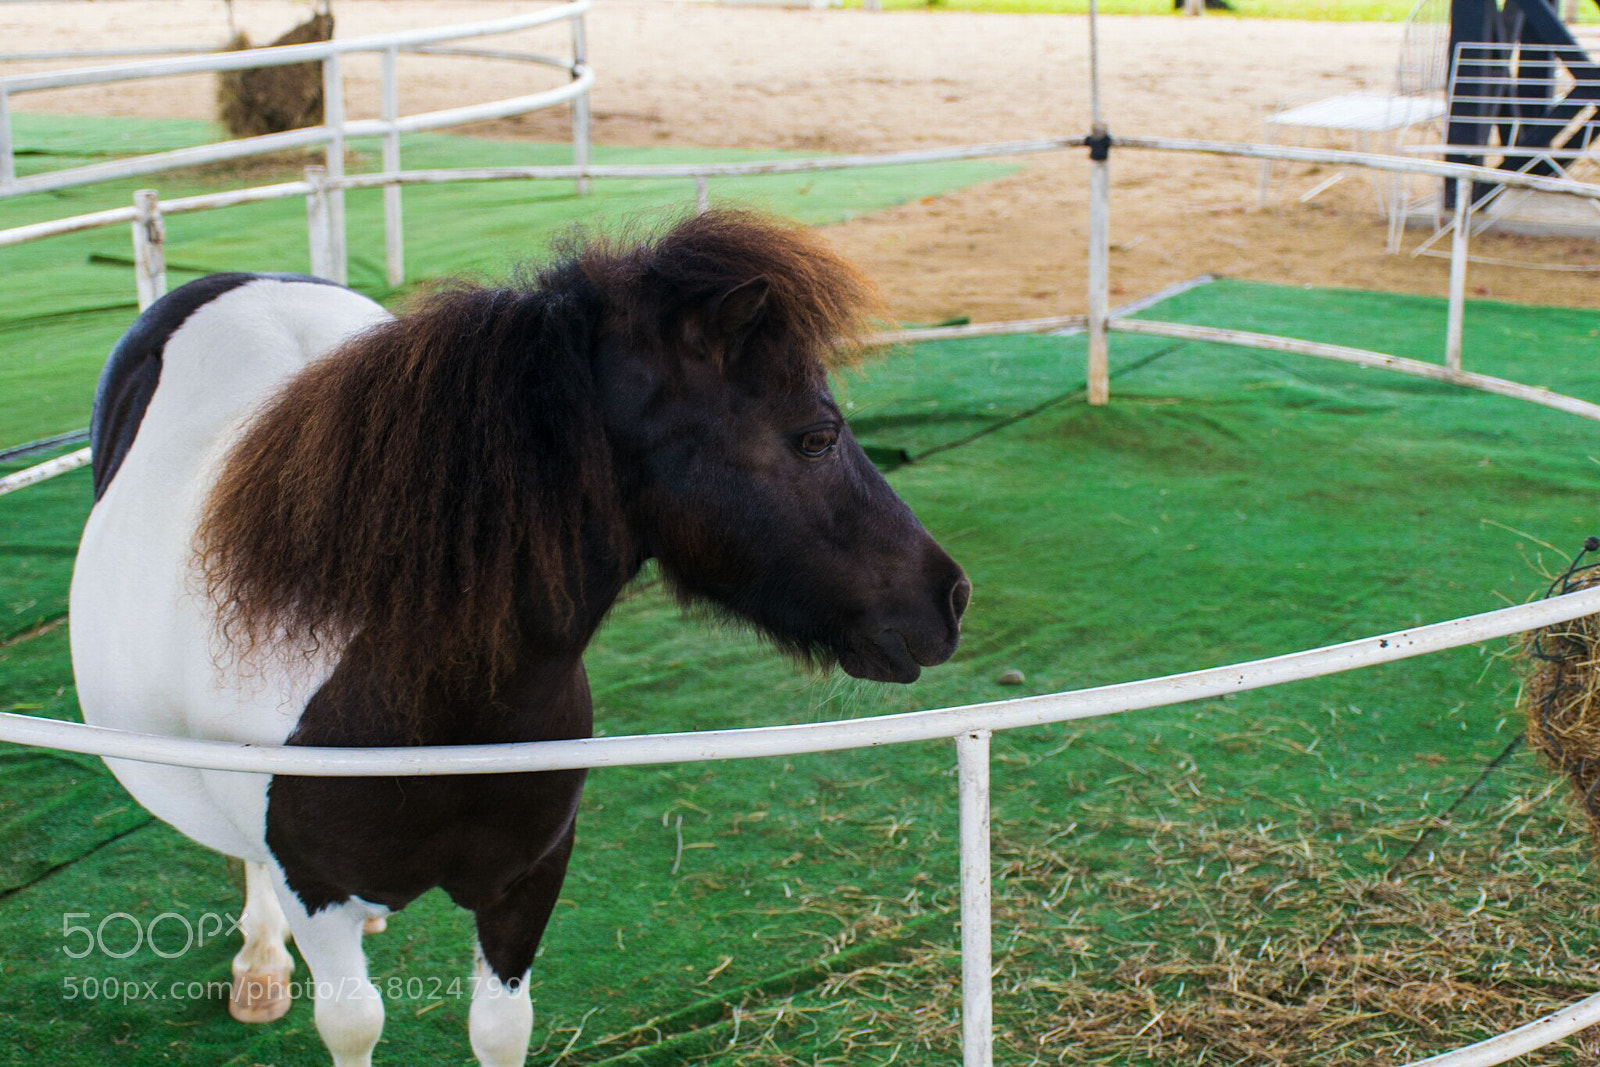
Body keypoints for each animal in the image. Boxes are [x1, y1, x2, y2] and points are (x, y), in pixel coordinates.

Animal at [68, 210, 970, 1067]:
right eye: (816, 436)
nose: (950, 596)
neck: (418, 699)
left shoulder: (526, 882)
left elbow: (502, 1029)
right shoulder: (315, 889)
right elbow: (354, 1023)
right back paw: (260, 960)